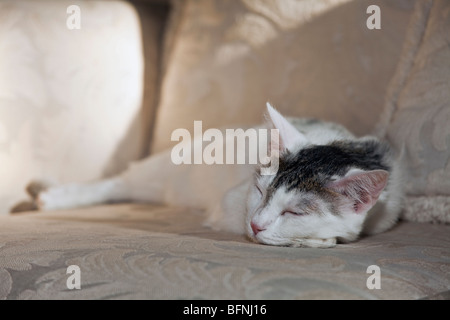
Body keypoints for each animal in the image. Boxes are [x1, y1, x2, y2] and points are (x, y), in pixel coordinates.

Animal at [15, 104, 406, 249]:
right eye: (260, 191)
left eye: (295, 211)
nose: (257, 224)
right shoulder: (231, 203)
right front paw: (316, 241)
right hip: (166, 169)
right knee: (117, 182)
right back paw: (53, 196)